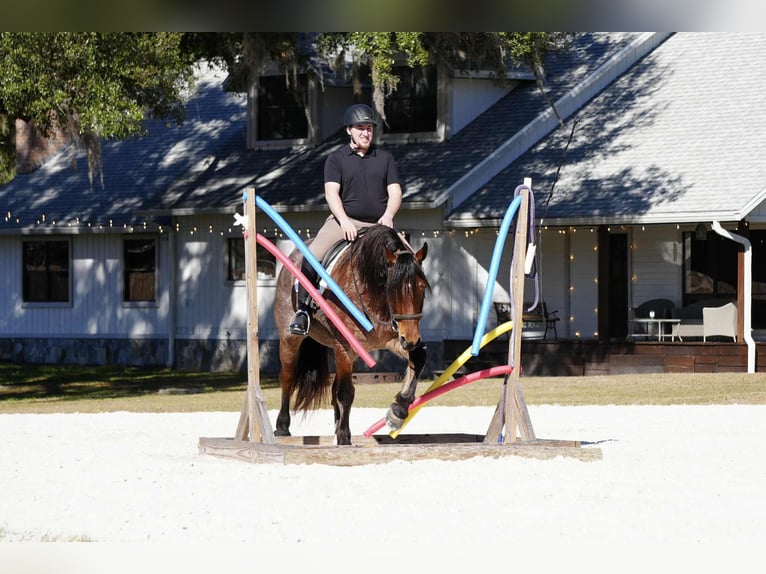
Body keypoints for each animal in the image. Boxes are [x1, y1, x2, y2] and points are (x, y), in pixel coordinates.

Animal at [273, 224, 430, 445]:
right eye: (392, 288)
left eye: (422, 288)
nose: (411, 339)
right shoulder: (345, 345)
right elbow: (346, 393)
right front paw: (344, 436)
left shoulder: (392, 339)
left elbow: (419, 357)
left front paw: (398, 410)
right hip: (290, 339)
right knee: (287, 376)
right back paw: (282, 426)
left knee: (333, 389)